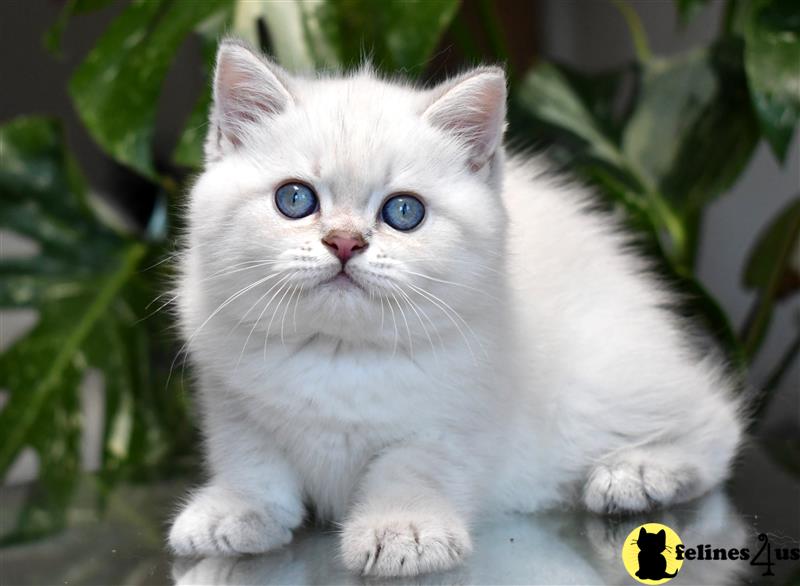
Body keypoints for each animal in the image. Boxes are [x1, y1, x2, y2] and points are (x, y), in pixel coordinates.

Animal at [167, 40, 744, 576]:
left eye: (404, 211)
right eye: (294, 200)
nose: (345, 242)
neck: (339, 353)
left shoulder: (449, 420)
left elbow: (410, 470)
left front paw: (403, 531)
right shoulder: (232, 404)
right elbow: (252, 463)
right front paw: (235, 512)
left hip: (602, 384)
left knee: (716, 422)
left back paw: (638, 474)